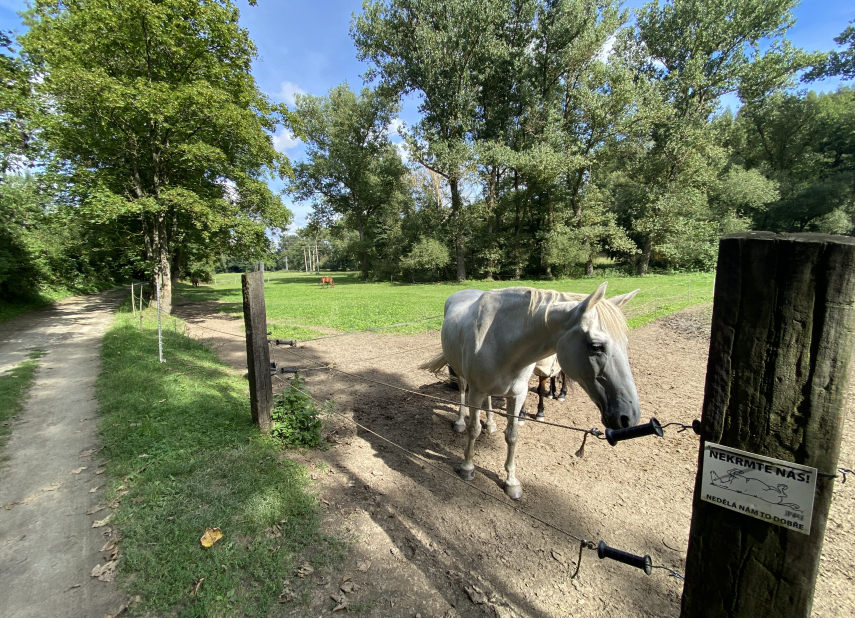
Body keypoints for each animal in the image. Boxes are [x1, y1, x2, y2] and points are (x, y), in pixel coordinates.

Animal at [422, 282, 640, 498]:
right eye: (596, 346)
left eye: (625, 343)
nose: (629, 417)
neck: (502, 339)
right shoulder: (475, 393)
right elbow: (473, 429)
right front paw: (467, 467)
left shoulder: (517, 395)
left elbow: (512, 435)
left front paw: (511, 482)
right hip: (460, 374)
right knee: (461, 393)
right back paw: (459, 422)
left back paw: (490, 424)